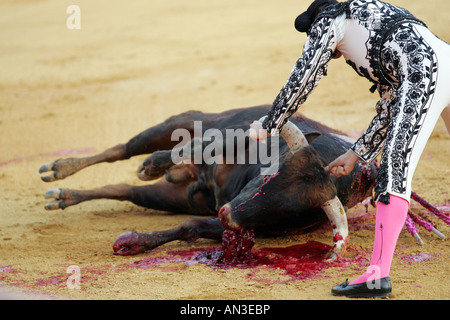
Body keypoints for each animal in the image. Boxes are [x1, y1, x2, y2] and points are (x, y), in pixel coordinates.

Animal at [39, 105, 384, 260]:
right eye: (271, 174)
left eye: (294, 210)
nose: (225, 213)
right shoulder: (239, 134)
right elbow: (200, 146)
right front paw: (154, 164)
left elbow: (190, 227)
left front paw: (135, 242)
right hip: (182, 121)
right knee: (122, 149)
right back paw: (58, 170)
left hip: (176, 196)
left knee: (125, 191)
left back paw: (63, 196)